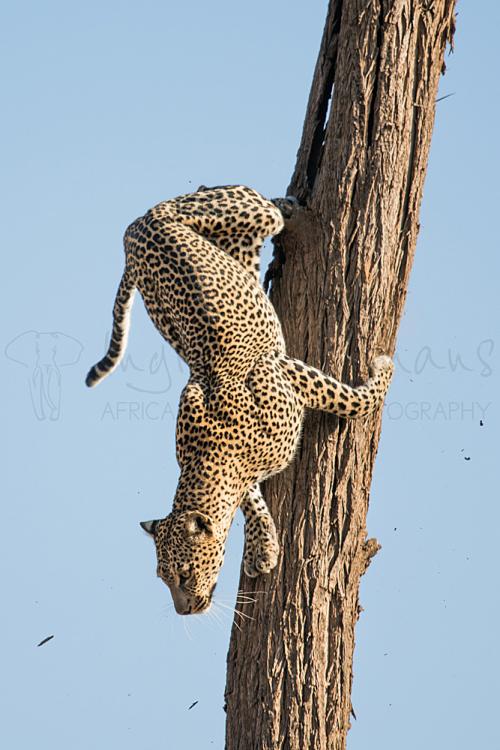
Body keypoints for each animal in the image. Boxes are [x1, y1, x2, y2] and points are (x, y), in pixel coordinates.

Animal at [86, 184, 394, 616]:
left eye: (183, 575)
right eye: (162, 579)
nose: (183, 610)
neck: (214, 456)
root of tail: (135, 228)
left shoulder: (282, 370)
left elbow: (349, 399)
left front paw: (381, 373)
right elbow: (250, 497)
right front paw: (262, 547)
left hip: (241, 213)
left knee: (247, 200)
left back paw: (280, 204)